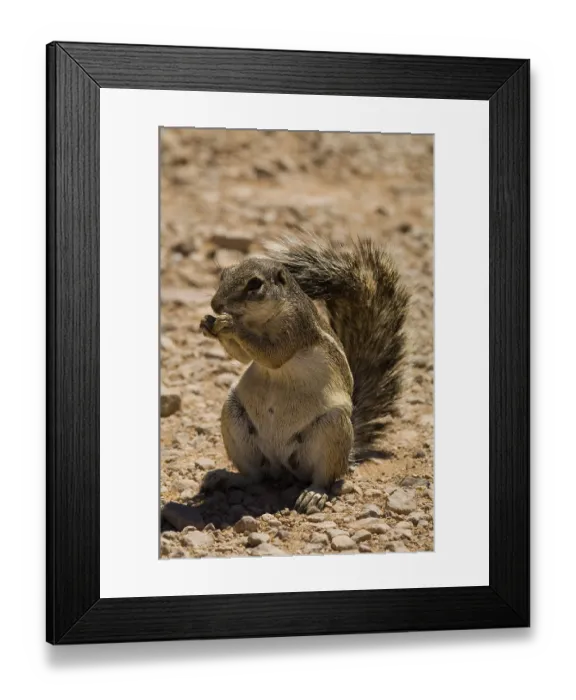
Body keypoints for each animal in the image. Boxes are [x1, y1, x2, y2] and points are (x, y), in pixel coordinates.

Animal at [200, 231, 409, 514]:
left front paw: (230, 325)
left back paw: (313, 494)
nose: (215, 304)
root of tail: (281, 465)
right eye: (224, 274)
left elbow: (272, 355)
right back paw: (226, 479)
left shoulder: (296, 328)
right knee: (255, 476)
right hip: (234, 420)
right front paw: (208, 324)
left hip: (332, 431)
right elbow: (244, 356)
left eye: (255, 284)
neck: (259, 320)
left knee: (324, 477)